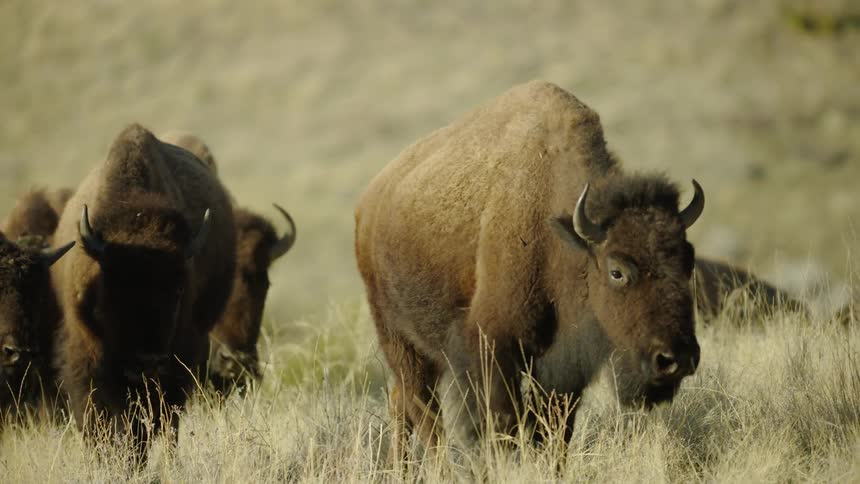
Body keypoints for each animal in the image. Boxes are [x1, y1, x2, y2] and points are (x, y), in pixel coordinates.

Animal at [355, 81, 704, 452]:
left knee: (401, 403)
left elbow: (554, 429)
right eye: (617, 271)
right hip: (400, 341)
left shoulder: (560, 370)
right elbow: (505, 423)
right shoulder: (494, 349)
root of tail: (368, 204)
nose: (676, 359)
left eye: (688, 261)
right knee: (423, 412)